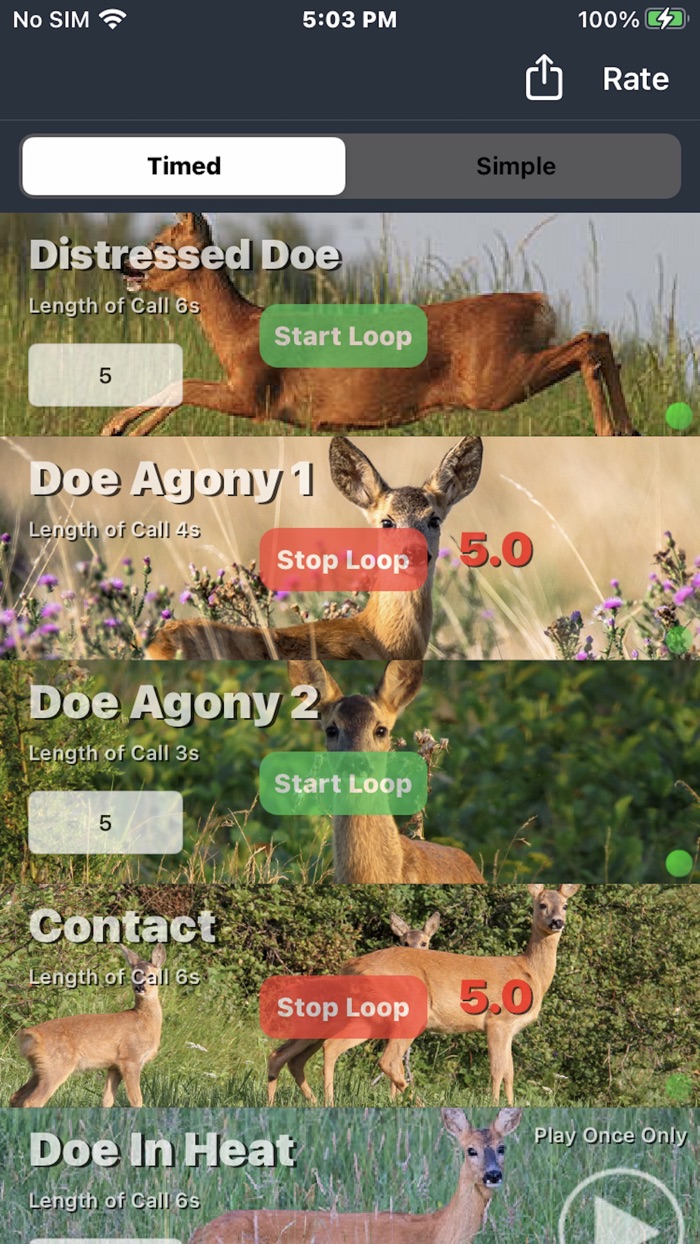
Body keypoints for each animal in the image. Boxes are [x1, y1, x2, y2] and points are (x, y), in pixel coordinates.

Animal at [9, 944, 165, 1108]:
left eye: (151, 976)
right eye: (135, 975)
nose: (140, 987)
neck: (144, 1021)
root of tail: (30, 1036)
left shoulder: (114, 1066)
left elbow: (107, 1100)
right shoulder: (131, 1058)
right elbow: (137, 1101)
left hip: (40, 1068)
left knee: (15, 1097)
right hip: (55, 1066)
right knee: (32, 1101)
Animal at [101, 212, 636, 437]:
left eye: (158, 243)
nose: (123, 264)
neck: (239, 331)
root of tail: (537, 302)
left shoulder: (256, 394)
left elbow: (184, 383)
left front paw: (119, 426)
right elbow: (181, 384)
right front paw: (126, 428)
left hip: (494, 380)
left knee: (588, 341)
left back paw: (610, 430)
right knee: (598, 335)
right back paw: (627, 429)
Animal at [266, 885, 579, 1108]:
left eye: (565, 904)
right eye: (541, 904)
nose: (557, 922)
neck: (530, 971)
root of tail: (351, 965)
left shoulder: (511, 1030)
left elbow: (511, 1072)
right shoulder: (497, 1022)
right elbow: (497, 1069)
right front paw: (494, 1106)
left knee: (286, 1054)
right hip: (399, 1013)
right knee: (366, 1055)